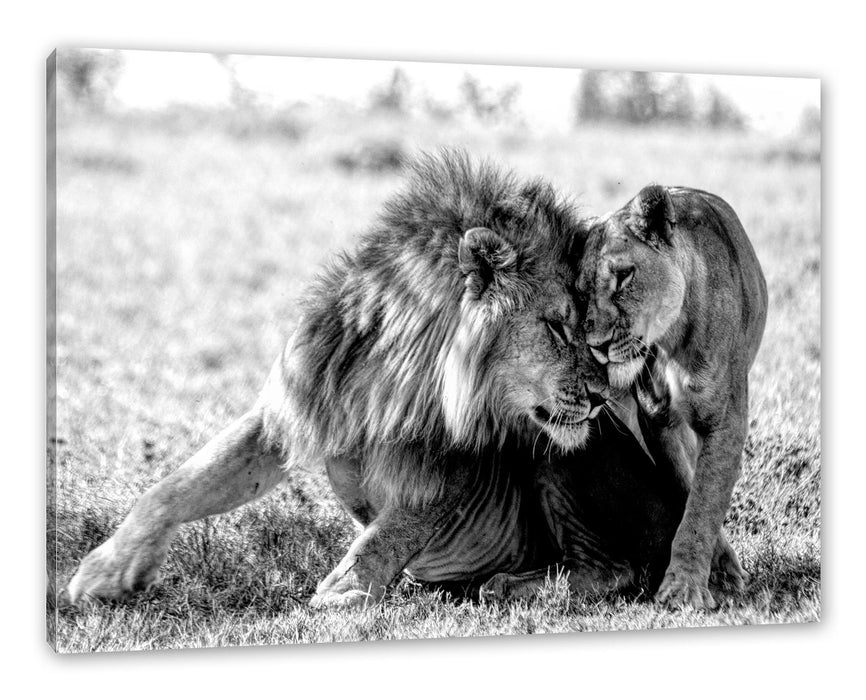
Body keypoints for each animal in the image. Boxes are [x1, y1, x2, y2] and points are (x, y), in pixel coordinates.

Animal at [66, 153, 680, 608]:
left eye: (592, 327)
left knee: (617, 571)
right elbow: (179, 484)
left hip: (569, 464)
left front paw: (344, 589)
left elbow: (392, 529)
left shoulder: (453, 471)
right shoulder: (292, 407)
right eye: (557, 326)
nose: (602, 397)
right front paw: (106, 571)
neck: (391, 375)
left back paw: (510, 585)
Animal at [576, 183, 768, 608]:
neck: (671, 340)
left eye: (623, 276)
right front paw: (715, 568)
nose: (597, 346)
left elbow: (704, 503)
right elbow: (687, 491)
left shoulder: (724, 422)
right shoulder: (657, 419)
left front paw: (683, 589)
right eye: (579, 294)